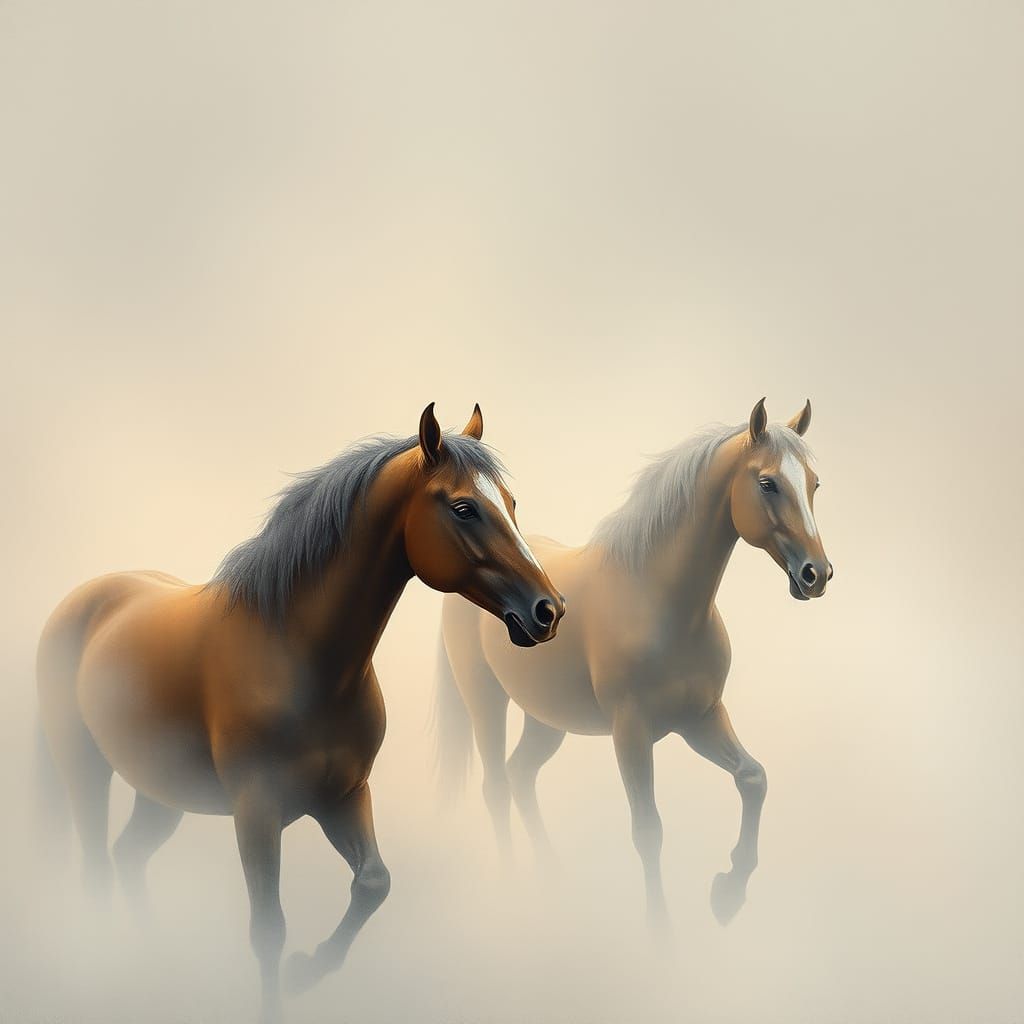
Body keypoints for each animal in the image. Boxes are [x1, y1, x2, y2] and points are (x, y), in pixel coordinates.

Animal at [36, 402, 566, 1023]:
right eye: (464, 507)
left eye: (509, 503)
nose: (548, 611)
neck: (298, 657)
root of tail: (86, 598)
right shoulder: (257, 811)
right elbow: (268, 930)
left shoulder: (343, 796)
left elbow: (374, 883)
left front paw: (306, 971)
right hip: (85, 772)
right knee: (97, 870)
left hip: (160, 792)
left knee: (127, 858)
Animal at [436, 398, 831, 934]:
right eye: (768, 482)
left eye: (813, 483)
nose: (817, 574)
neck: (658, 603)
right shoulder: (632, 731)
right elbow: (648, 830)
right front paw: (659, 931)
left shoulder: (700, 717)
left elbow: (753, 778)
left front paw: (728, 893)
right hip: (485, 701)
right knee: (496, 786)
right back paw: (516, 889)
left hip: (546, 719)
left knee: (520, 776)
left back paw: (551, 879)